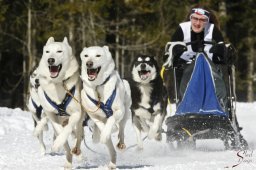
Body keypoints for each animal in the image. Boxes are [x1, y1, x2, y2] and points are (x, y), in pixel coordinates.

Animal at [33, 36, 84, 169]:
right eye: (47, 52)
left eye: (59, 51)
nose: (50, 60)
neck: (57, 84)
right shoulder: (51, 115)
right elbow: (60, 131)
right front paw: (57, 144)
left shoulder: (76, 113)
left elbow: (68, 130)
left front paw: (58, 143)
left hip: (80, 121)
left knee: (78, 136)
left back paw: (77, 152)